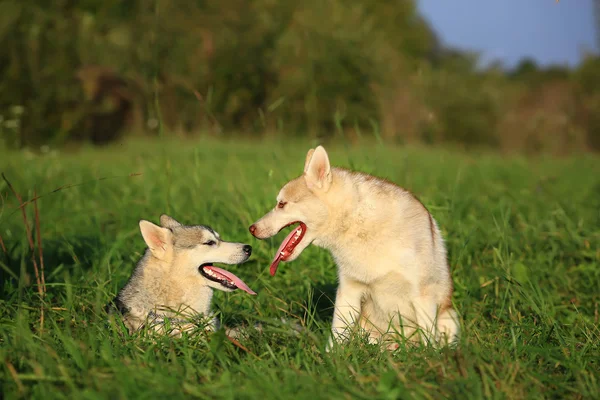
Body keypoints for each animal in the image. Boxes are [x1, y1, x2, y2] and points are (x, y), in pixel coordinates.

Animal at [248, 145, 460, 348]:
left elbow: (428, 343)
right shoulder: (349, 291)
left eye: (282, 204)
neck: (358, 223)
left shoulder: (422, 295)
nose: (252, 229)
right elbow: (336, 340)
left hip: (449, 319)